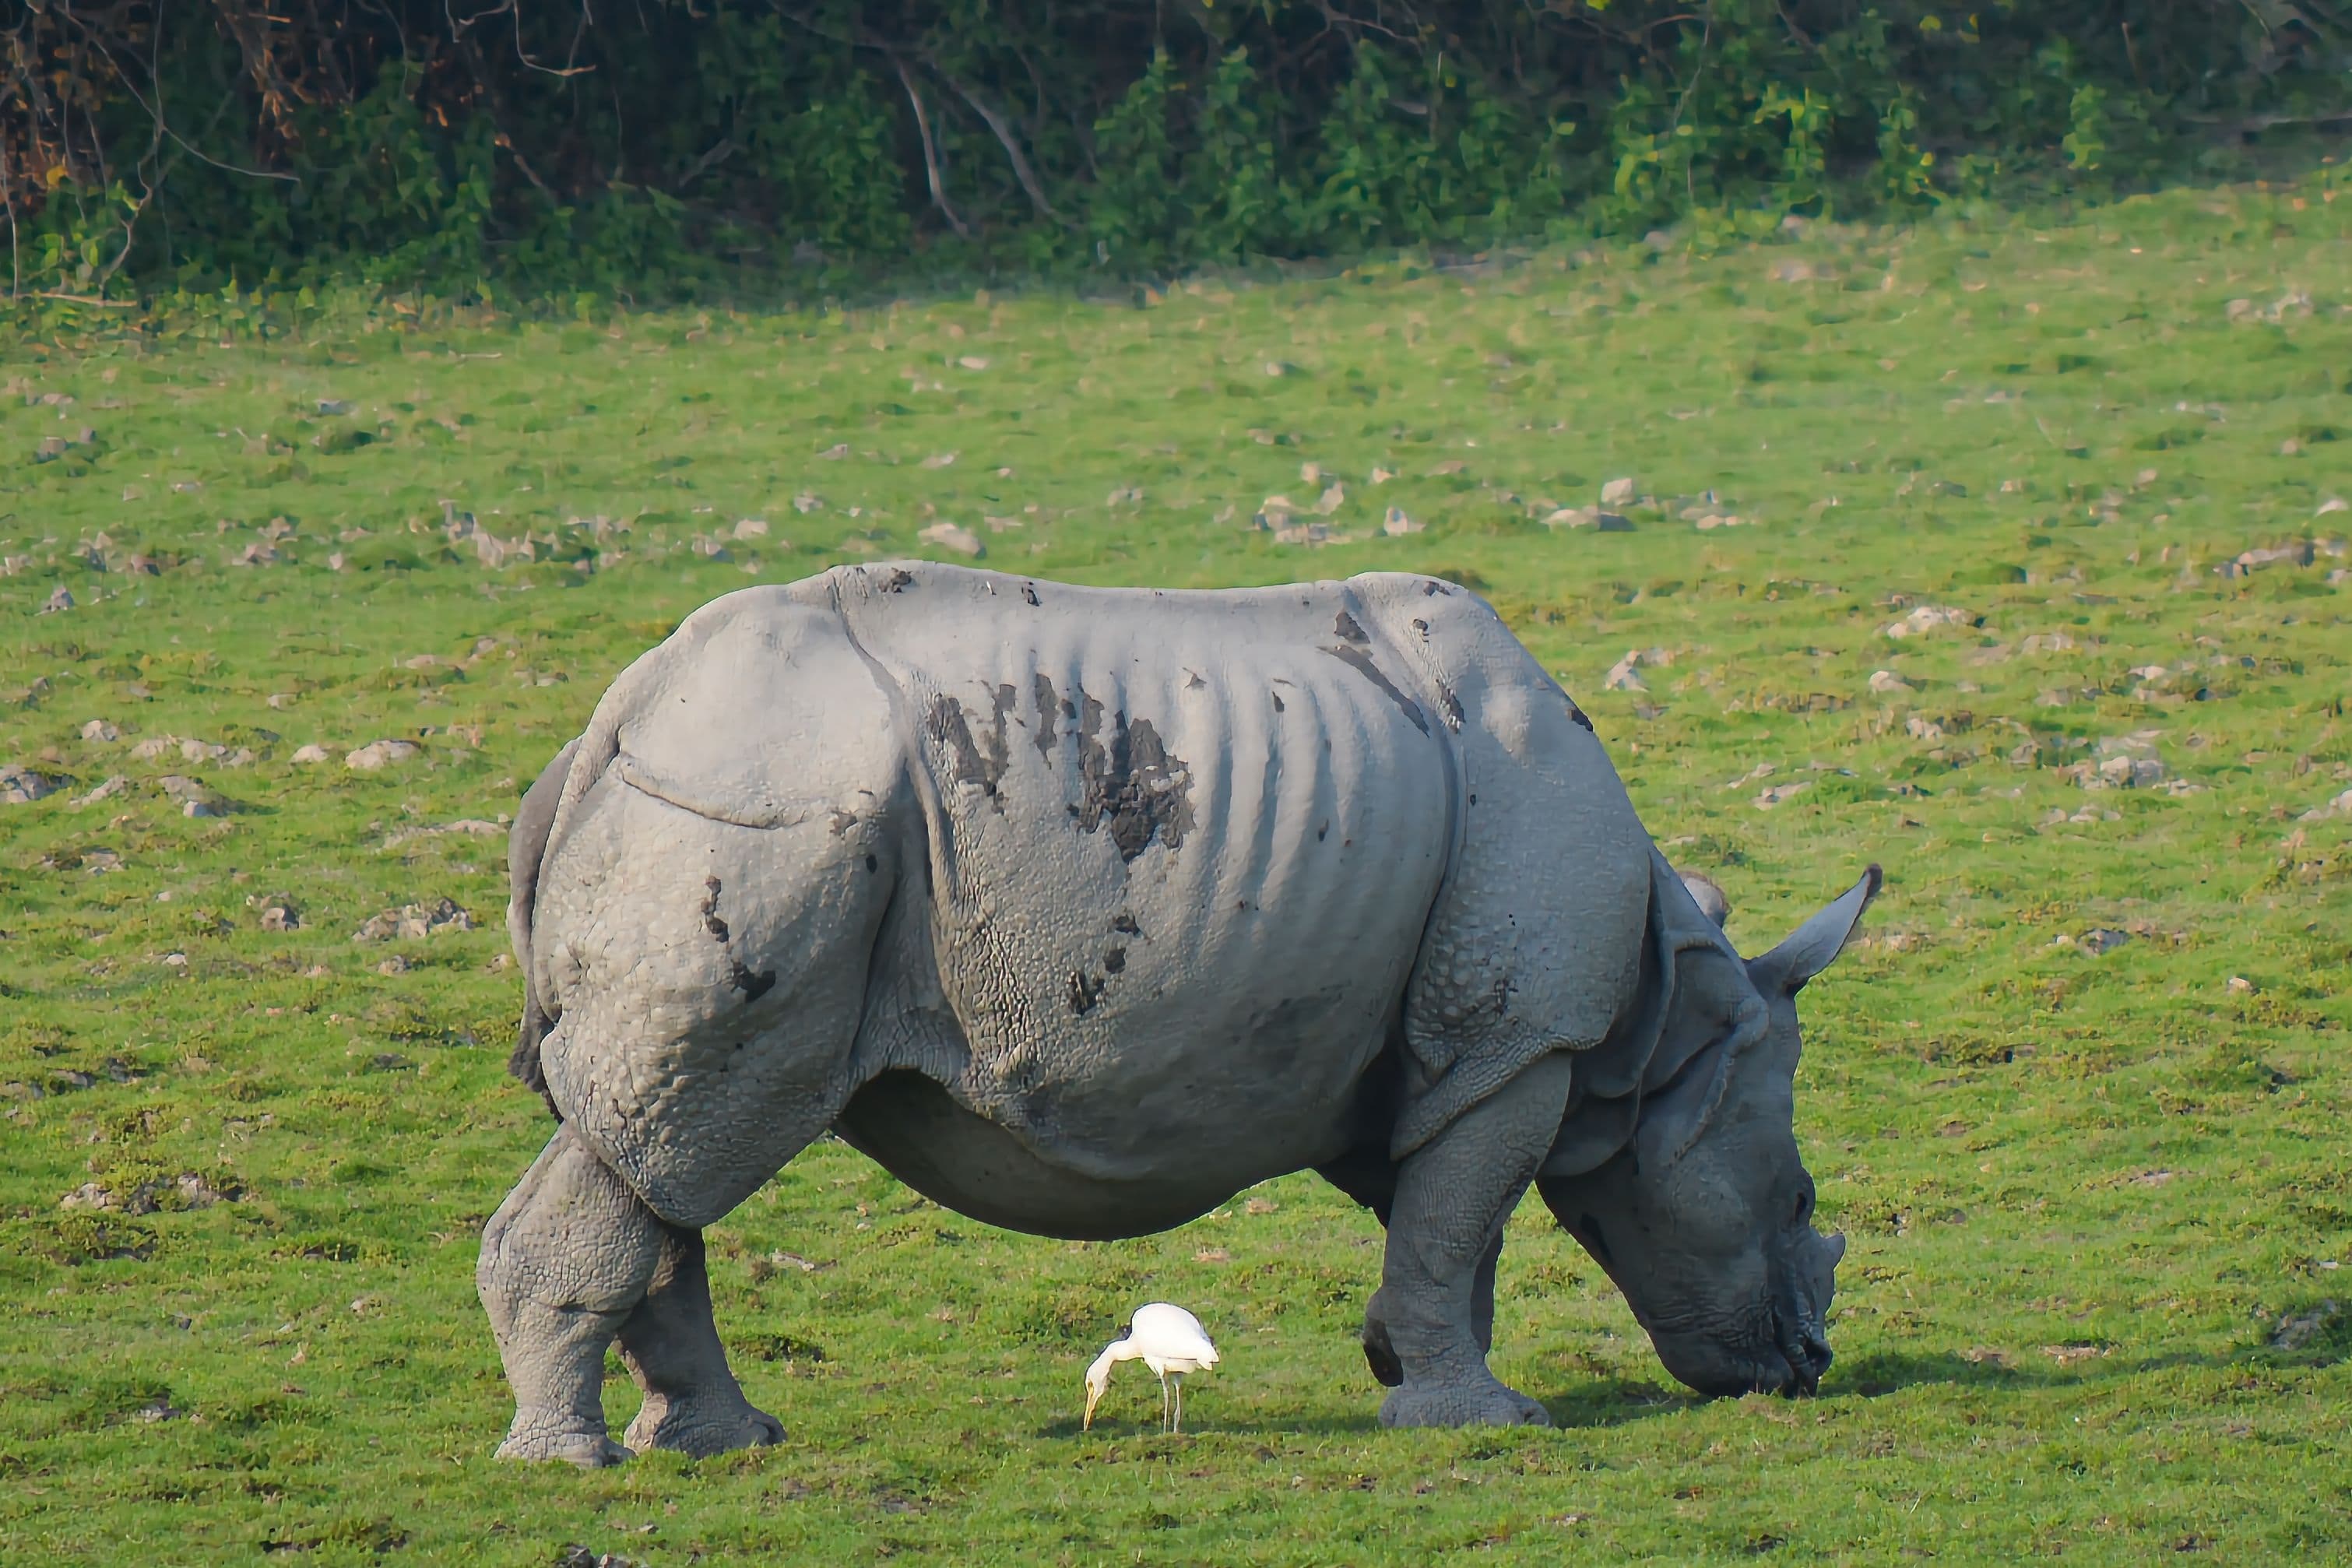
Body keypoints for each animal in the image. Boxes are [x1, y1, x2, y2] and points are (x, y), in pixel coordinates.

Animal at [481, 561, 1877, 1464]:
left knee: (658, 1152)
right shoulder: (1516, 1037)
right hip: (756, 830)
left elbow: (1446, 1220)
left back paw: (721, 1445)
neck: (1667, 1022)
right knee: (690, 1127)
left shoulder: (1427, 1042)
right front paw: (1484, 1422)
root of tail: (609, 722)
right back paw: (574, 1464)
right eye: (1803, 1195)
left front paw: (1406, 1369)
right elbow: (1457, 1212)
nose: (1805, 1371)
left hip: (729, 818)